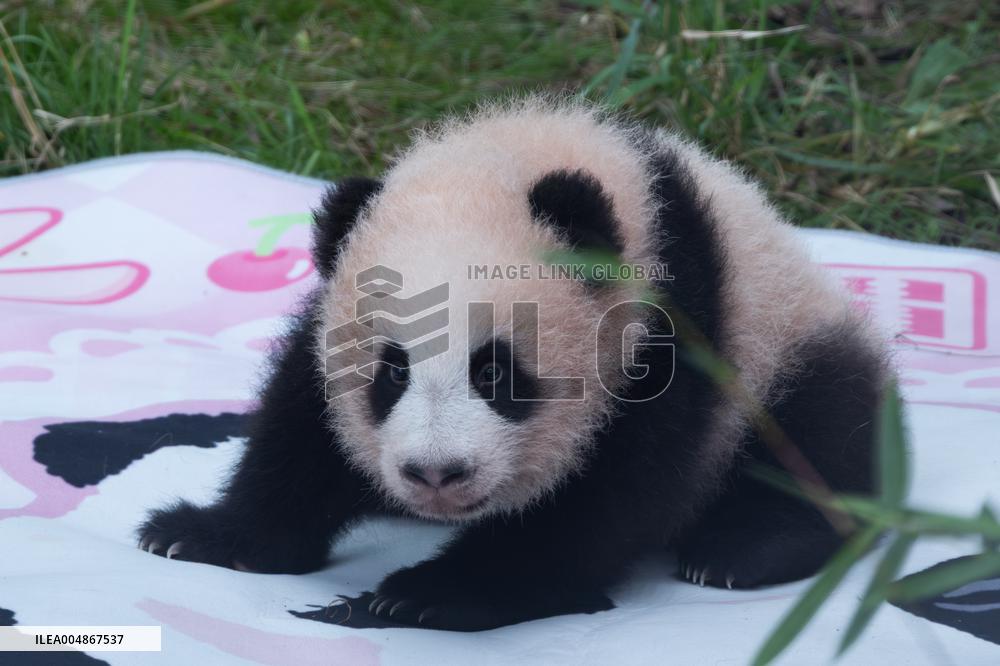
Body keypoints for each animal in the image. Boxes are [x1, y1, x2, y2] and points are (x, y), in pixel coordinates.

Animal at [138, 96, 889, 631]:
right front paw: (203, 535)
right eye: (392, 374)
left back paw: (736, 552)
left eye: (494, 373)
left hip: (783, 345)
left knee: (815, 435)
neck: (508, 161)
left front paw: (433, 594)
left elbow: (604, 496)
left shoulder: (673, 328)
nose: (435, 474)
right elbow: (299, 431)